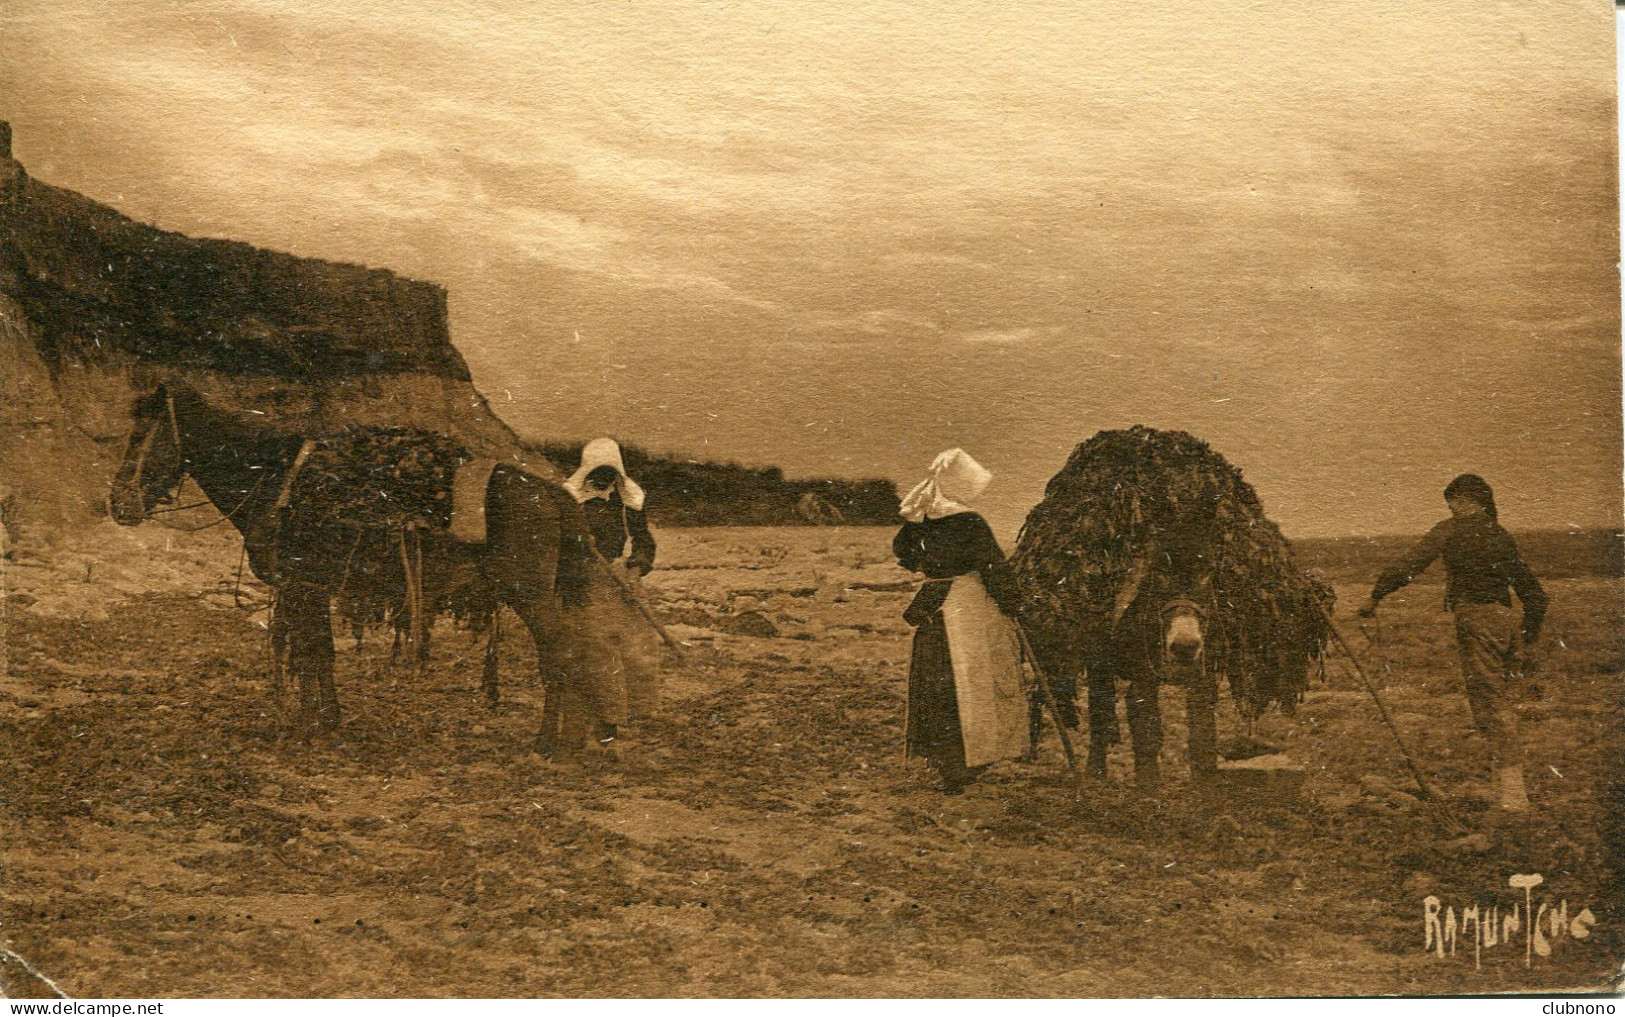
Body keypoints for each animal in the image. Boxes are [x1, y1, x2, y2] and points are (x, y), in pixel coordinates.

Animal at [109, 380, 611, 744]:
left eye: (143, 436)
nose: (119, 504)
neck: (274, 481)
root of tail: (553, 494)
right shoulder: (304, 587)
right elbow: (316, 652)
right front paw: (322, 719)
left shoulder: (302, 585)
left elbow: (312, 652)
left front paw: (312, 723)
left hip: (531, 597)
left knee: (560, 655)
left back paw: (548, 743)